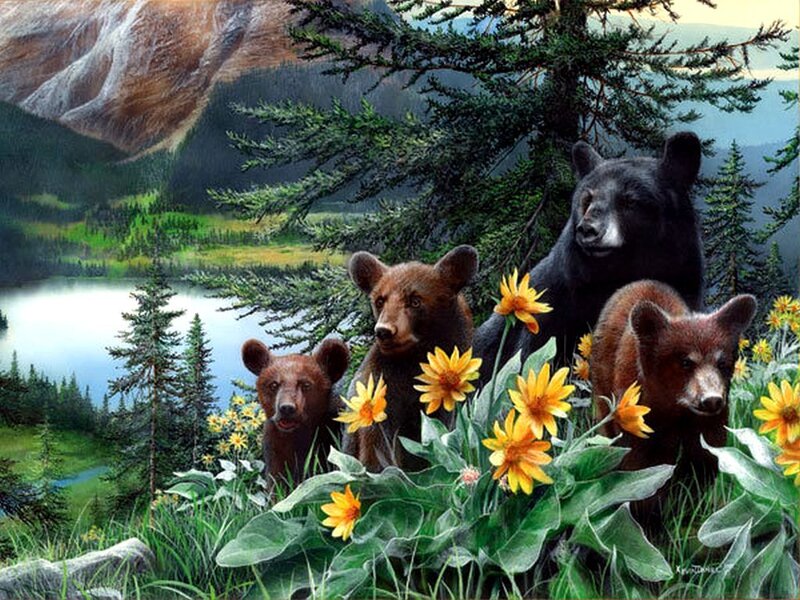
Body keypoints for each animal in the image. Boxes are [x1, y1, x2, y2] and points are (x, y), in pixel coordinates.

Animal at [343, 245, 479, 471]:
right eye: (380, 300)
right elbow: (377, 448)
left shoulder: (442, 405)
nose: (384, 331)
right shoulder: (381, 394)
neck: (414, 362)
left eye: (415, 300)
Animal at [590, 280, 756, 520]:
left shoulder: (707, 422)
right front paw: (647, 514)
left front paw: (689, 506)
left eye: (722, 362)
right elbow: (640, 464)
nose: (712, 400)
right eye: (686, 362)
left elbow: (704, 455)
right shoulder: (638, 413)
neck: (675, 407)